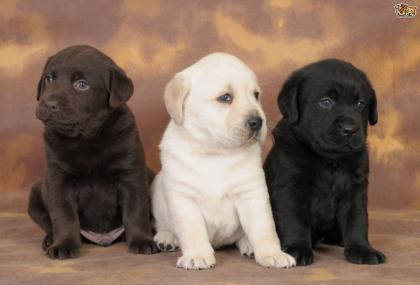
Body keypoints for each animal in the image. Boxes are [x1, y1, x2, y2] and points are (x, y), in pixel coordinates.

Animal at [27, 43, 157, 258]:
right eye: (49, 78)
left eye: (81, 84)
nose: (48, 104)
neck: (87, 138)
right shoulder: (59, 179)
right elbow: (64, 216)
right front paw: (63, 244)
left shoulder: (131, 174)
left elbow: (136, 211)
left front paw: (142, 240)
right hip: (35, 194)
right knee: (48, 222)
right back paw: (50, 240)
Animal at [151, 52, 296, 268]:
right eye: (225, 97)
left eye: (256, 95)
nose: (257, 122)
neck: (216, 153)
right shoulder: (183, 198)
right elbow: (192, 231)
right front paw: (197, 255)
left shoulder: (252, 193)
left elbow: (264, 229)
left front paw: (273, 253)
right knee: (162, 224)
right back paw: (167, 238)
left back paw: (248, 244)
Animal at [264, 58, 386, 266]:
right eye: (326, 102)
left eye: (360, 103)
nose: (350, 129)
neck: (328, 160)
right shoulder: (289, 186)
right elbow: (294, 218)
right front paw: (297, 248)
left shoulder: (355, 189)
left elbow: (357, 220)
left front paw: (362, 249)